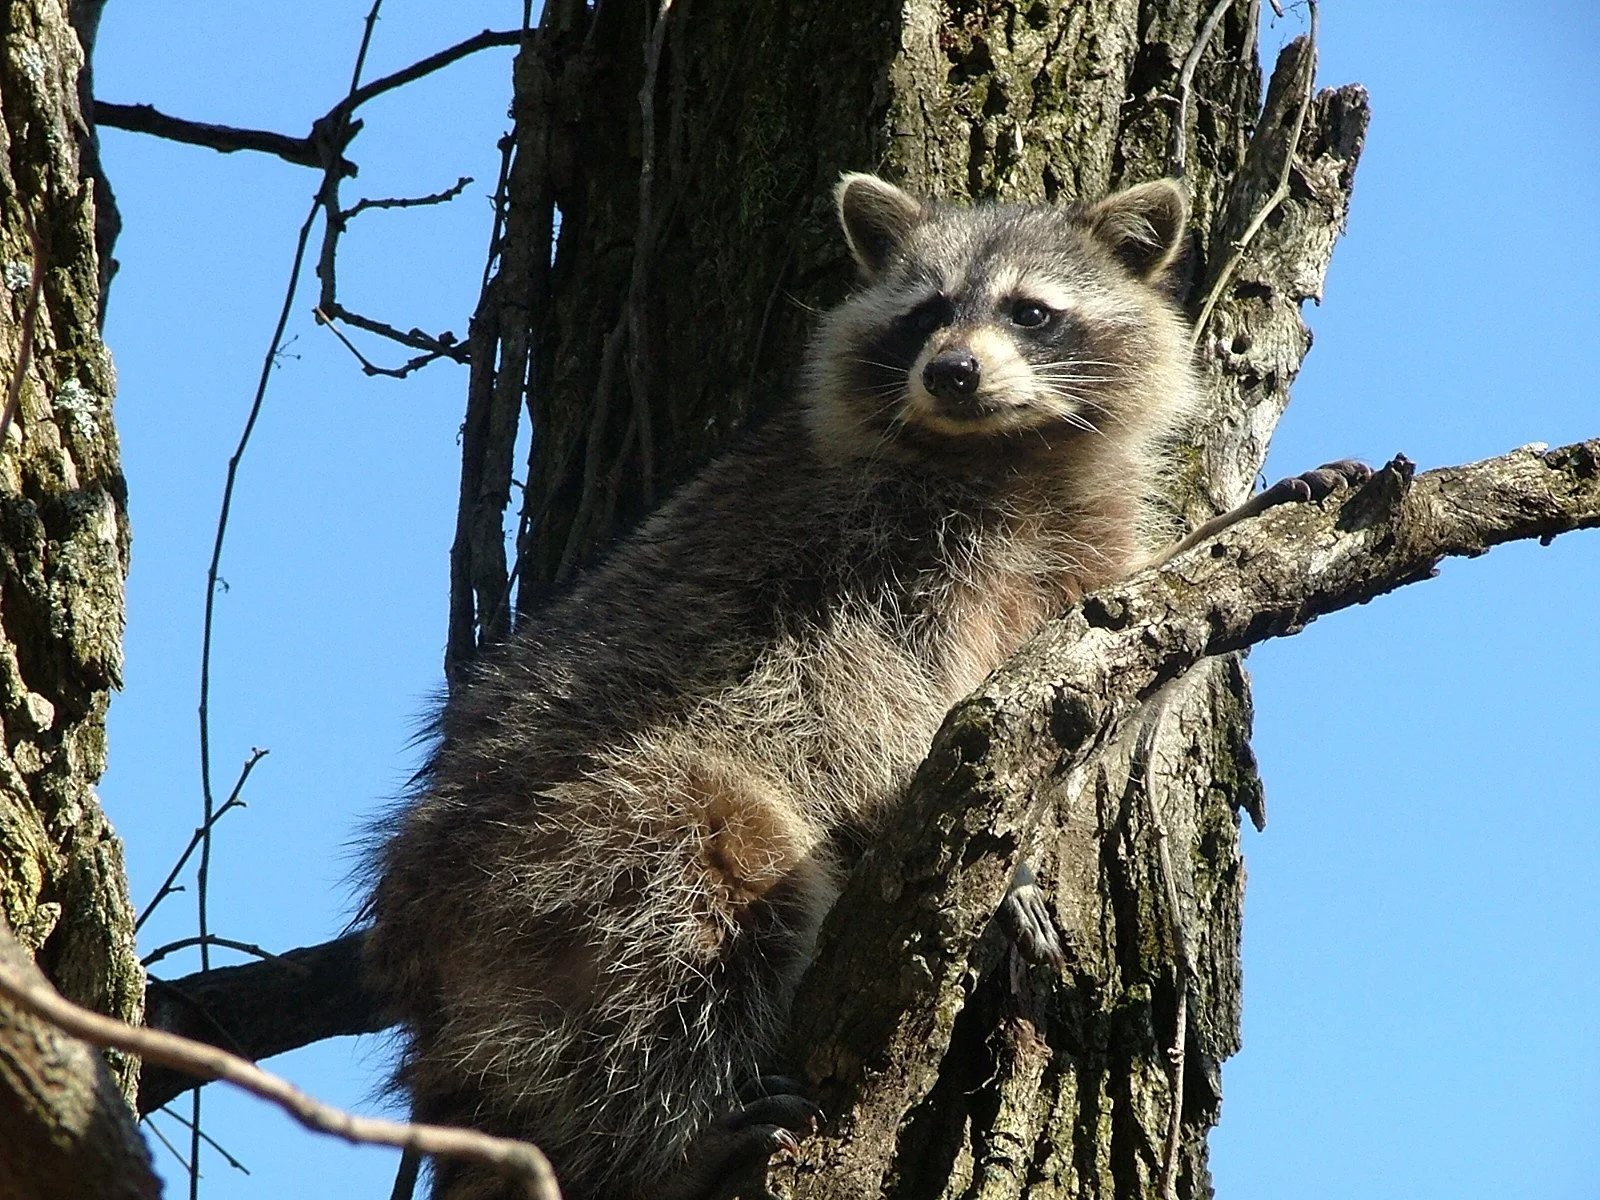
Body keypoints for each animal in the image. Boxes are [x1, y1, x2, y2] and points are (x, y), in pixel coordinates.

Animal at [364, 173, 1197, 1200]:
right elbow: (878, 707)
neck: (1004, 455)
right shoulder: (862, 568)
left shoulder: (1083, 558)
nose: (953, 372)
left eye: (1030, 312)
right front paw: (977, 856)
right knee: (703, 896)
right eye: (925, 314)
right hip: (561, 844)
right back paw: (669, 1132)